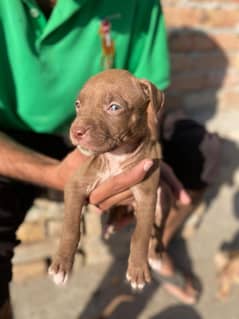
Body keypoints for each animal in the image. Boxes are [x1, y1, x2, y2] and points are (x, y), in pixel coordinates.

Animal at [48, 69, 164, 292]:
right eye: (78, 104)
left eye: (114, 107)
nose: (76, 131)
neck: (116, 157)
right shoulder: (75, 185)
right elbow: (70, 227)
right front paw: (61, 265)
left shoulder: (147, 196)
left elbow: (141, 235)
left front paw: (138, 269)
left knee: (158, 229)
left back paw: (156, 254)